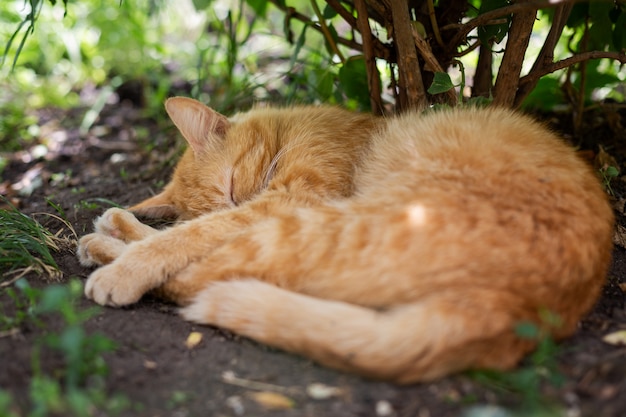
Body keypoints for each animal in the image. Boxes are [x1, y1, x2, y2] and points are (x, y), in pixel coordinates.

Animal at [75, 96, 612, 382]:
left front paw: (128, 258)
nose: (236, 203)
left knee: (199, 277)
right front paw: (128, 225)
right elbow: (187, 229)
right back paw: (109, 235)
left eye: (229, 186)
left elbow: (190, 236)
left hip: (318, 226)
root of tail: (519, 309)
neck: (301, 126)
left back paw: (108, 255)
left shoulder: (289, 200)